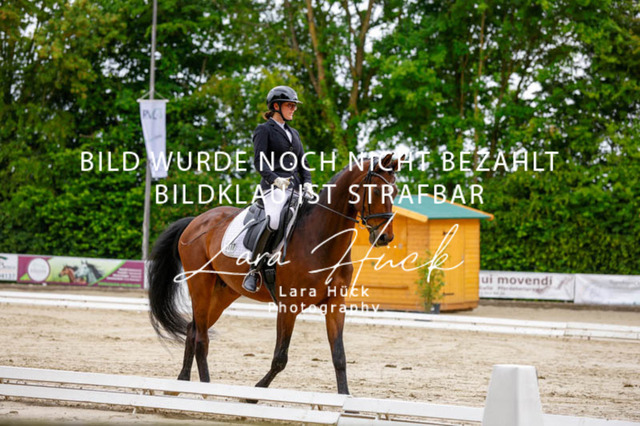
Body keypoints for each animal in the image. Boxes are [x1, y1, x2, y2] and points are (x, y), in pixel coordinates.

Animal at [148, 153, 401, 395]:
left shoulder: (335, 303)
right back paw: (206, 390)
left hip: (223, 293)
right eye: (376, 190)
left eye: (396, 192)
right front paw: (253, 394)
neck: (321, 240)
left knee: (192, 329)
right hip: (200, 285)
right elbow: (280, 358)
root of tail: (196, 221)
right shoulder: (288, 305)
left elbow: (339, 356)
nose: (384, 237)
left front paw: (344, 397)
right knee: (201, 336)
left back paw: (181, 385)